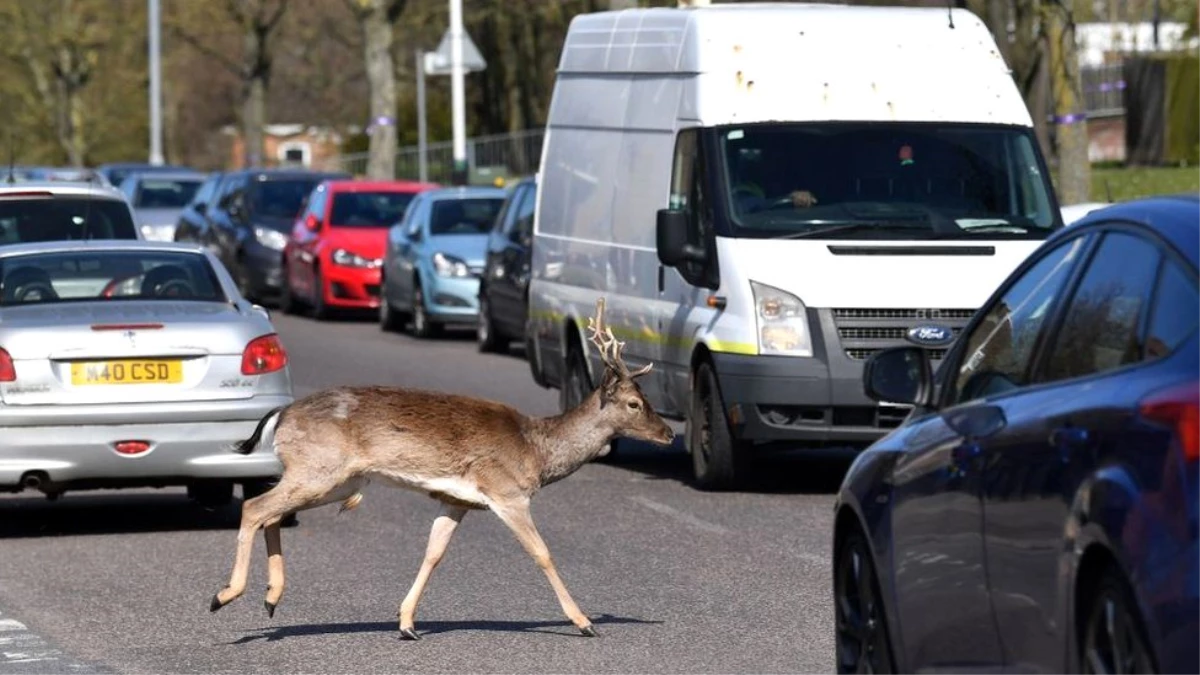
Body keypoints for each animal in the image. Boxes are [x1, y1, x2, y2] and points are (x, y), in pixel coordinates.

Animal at [207, 297, 676, 634]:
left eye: (646, 399)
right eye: (634, 404)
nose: (670, 434)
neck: (537, 450)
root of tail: (281, 415)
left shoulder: (456, 499)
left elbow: (433, 553)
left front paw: (406, 623)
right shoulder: (507, 492)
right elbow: (542, 553)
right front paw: (584, 622)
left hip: (337, 481)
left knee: (271, 514)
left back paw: (271, 599)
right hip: (318, 469)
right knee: (254, 508)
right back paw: (225, 594)